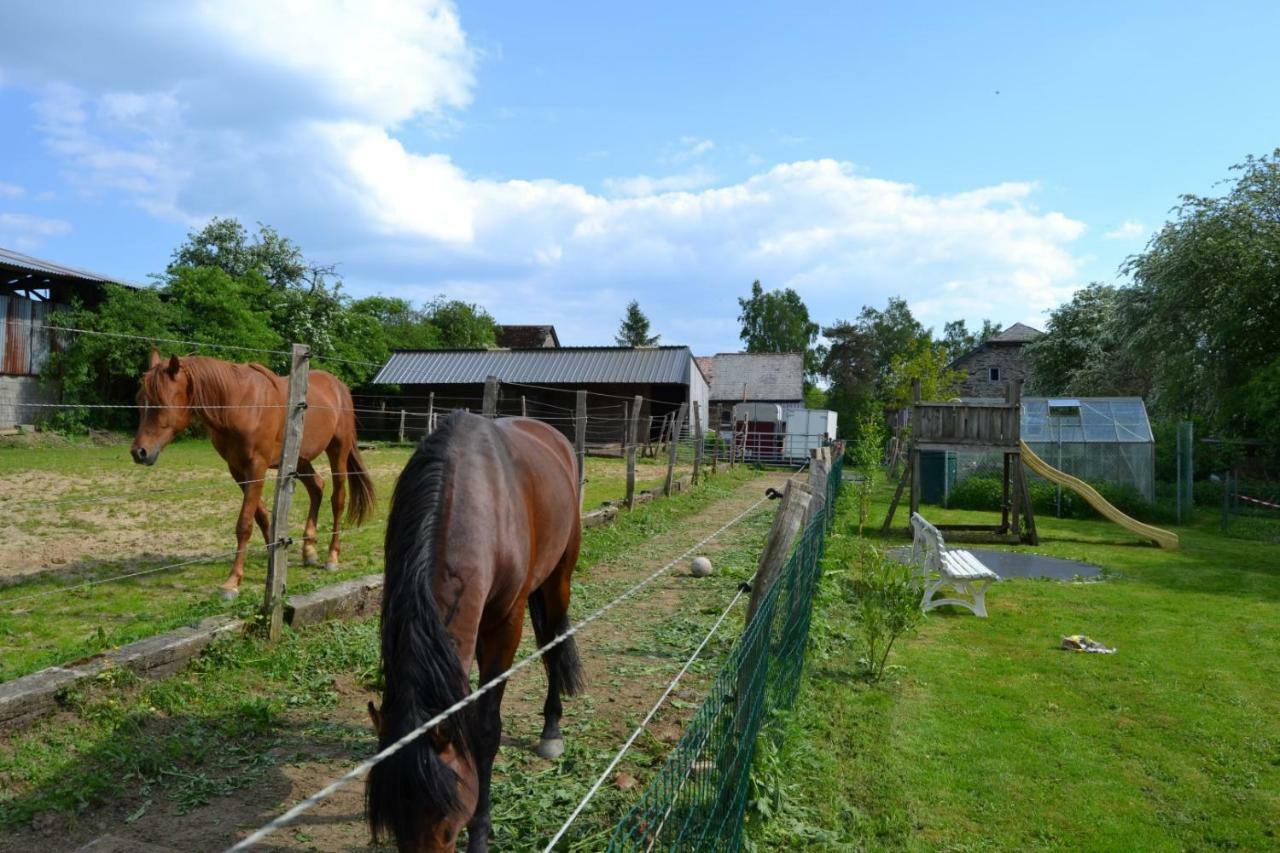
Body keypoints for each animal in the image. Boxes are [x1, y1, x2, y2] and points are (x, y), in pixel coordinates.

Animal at [131, 348, 373, 594]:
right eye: (140, 400)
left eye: (161, 403)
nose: (139, 452)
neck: (241, 405)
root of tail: (339, 387)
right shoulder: (237, 470)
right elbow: (261, 517)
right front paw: (272, 556)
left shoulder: (257, 467)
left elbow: (244, 524)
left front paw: (232, 582)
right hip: (301, 459)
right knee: (317, 488)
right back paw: (309, 551)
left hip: (338, 452)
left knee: (338, 500)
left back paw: (332, 557)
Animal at [368, 409, 583, 845]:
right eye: (394, 827)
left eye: (448, 825)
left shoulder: (503, 626)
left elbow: (484, 731)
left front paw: (481, 833)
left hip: (559, 578)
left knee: (553, 643)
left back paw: (551, 730)